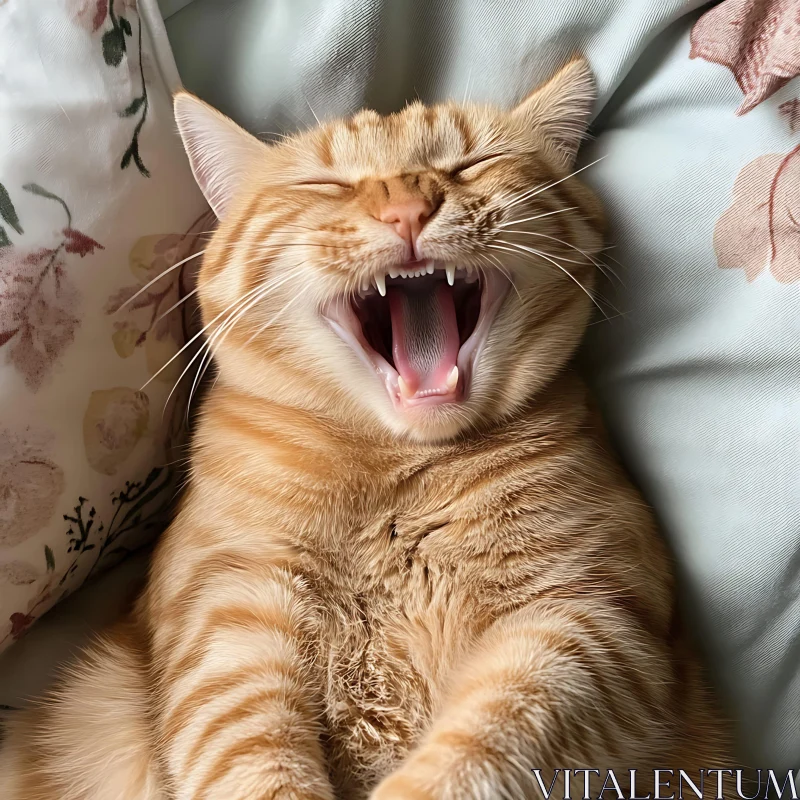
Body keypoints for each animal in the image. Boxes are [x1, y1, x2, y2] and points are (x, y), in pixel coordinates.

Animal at [0, 61, 732, 800]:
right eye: (326, 185)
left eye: (468, 164)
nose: (407, 210)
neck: (392, 472)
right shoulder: (229, 616)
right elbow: (252, 759)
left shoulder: (589, 620)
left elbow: (483, 744)